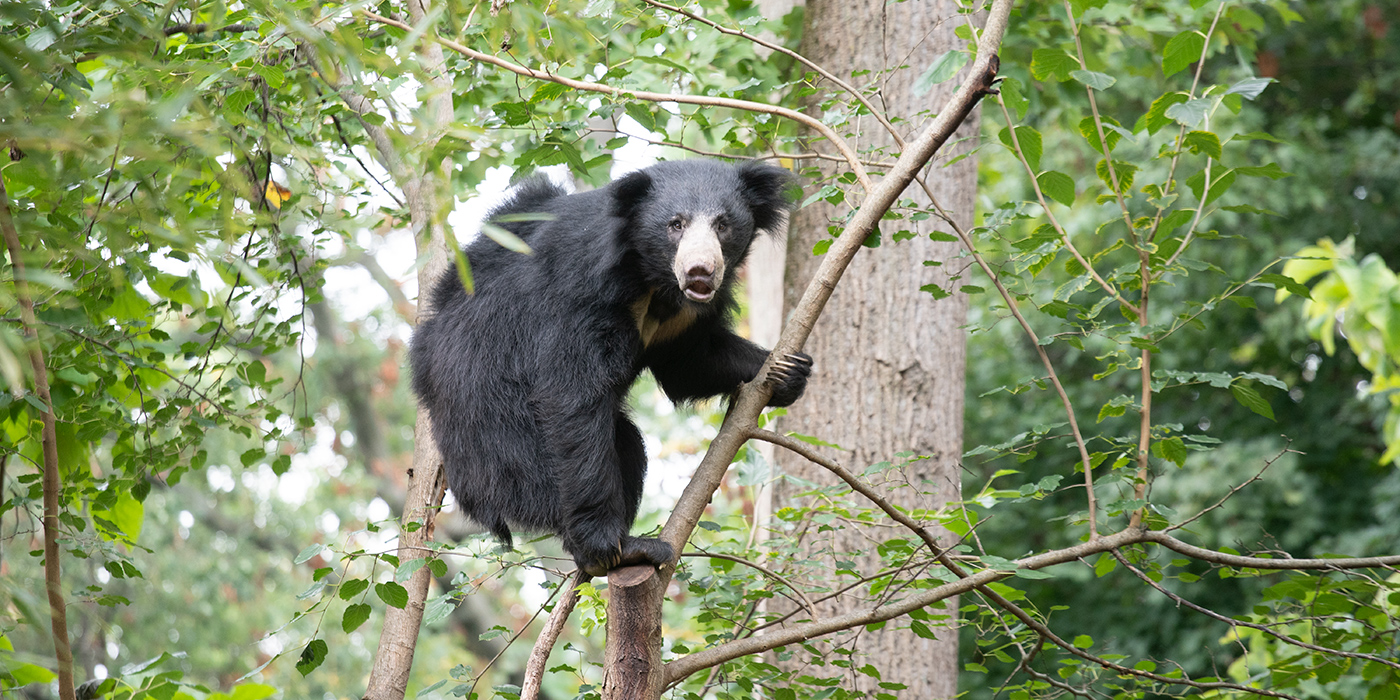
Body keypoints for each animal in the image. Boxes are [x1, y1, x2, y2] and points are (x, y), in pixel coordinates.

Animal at [408, 161, 812, 576]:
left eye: (722, 224)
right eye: (676, 224)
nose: (700, 272)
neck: (653, 280)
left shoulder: (680, 320)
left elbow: (689, 361)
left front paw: (787, 371)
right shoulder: (583, 296)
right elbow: (571, 394)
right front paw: (602, 543)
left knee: (627, 444)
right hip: (493, 420)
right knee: (541, 467)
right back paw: (620, 549)